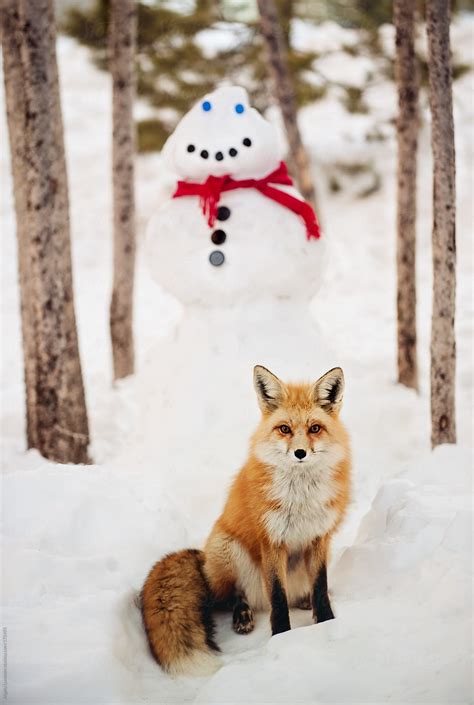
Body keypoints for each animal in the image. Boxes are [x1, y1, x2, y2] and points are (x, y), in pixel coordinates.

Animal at [141, 366, 352, 672]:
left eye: (315, 428)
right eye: (284, 429)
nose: (300, 453)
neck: (301, 497)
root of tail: (202, 557)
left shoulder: (319, 537)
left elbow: (320, 589)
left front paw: (326, 623)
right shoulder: (271, 541)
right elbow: (277, 598)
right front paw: (282, 638)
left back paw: (303, 601)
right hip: (228, 550)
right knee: (228, 597)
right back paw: (242, 615)